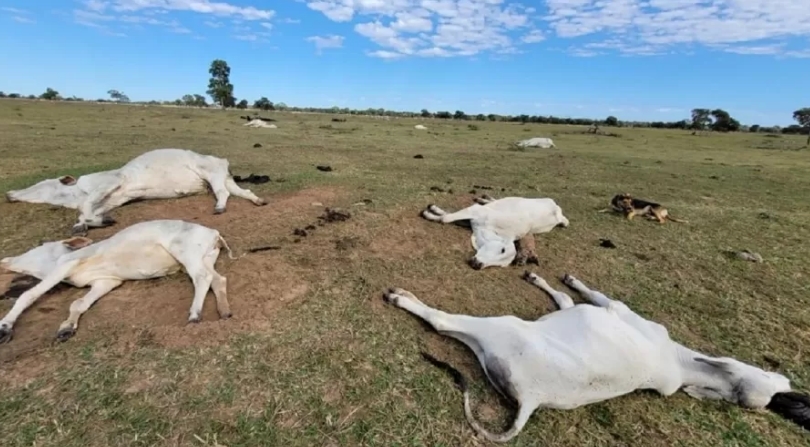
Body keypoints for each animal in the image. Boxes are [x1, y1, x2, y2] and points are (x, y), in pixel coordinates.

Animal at [0, 220, 234, 344]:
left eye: (39, 246)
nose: (5, 260)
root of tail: (214, 233)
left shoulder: (67, 264)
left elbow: (29, 294)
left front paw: (4, 327)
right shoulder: (106, 282)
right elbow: (79, 303)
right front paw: (66, 328)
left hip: (186, 252)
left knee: (202, 278)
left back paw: (195, 314)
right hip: (206, 257)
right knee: (217, 279)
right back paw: (224, 311)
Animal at [4, 149, 266, 236]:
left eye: (43, 184)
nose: (9, 194)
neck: (77, 192)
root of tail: (222, 160)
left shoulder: (112, 182)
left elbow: (86, 208)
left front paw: (88, 223)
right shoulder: (113, 199)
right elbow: (88, 212)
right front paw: (91, 223)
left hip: (212, 175)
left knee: (223, 193)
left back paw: (220, 207)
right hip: (222, 178)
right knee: (243, 191)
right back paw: (258, 200)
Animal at [380, 272, 808, 444]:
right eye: (778, 381)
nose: (794, 396)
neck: (681, 363)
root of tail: (532, 400)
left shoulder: (615, 308)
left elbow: (588, 295)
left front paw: (567, 280)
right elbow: (565, 299)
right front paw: (542, 279)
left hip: (499, 328)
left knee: (442, 322)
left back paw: (402, 297)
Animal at [422, 197, 568, 270]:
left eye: (501, 265)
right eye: (502, 250)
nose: (478, 265)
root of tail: (558, 212)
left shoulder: (471, 220)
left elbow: (447, 216)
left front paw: (433, 211)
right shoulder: (476, 211)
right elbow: (446, 218)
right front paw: (429, 212)